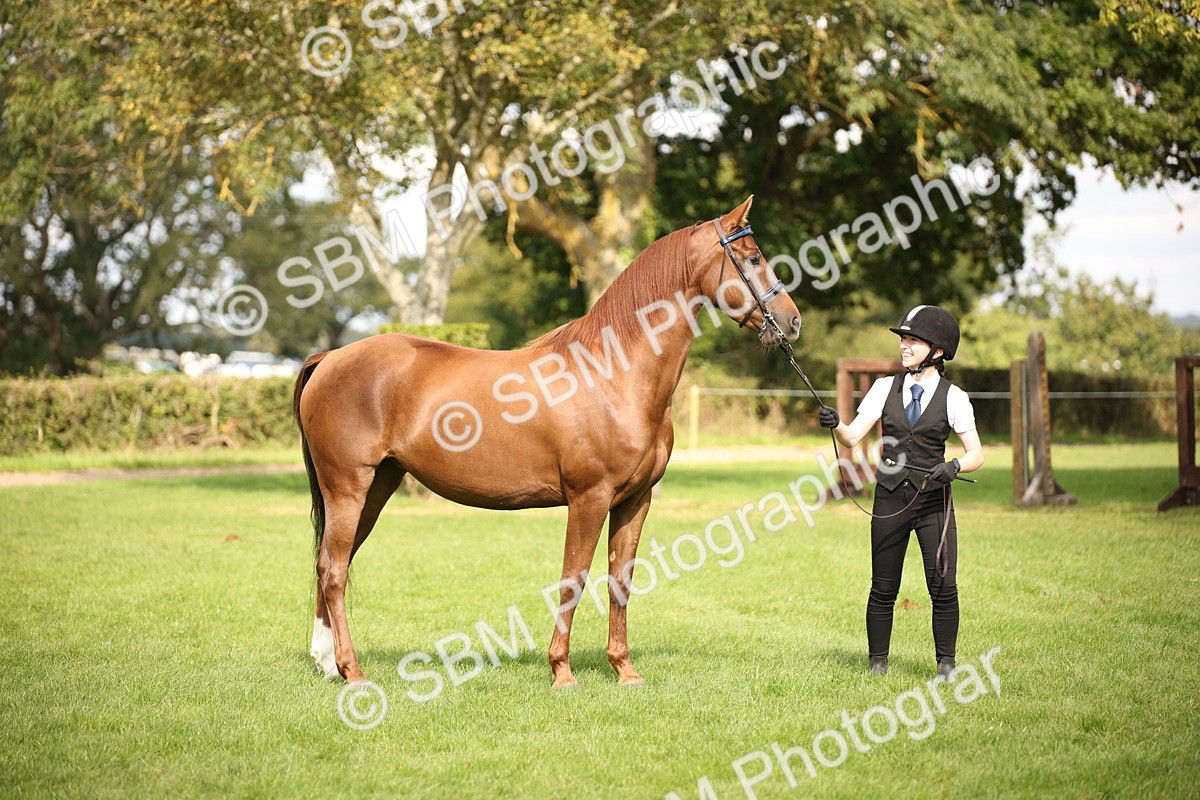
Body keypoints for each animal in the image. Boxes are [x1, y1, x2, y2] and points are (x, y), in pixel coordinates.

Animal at [293, 196, 801, 688]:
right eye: (752, 258)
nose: (792, 322)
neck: (613, 374)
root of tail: (330, 357)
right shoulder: (589, 498)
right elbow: (573, 579)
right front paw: (562, 672)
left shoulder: (636, 500)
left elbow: (620, 580)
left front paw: (624, 671)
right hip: (348, 488)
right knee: (334, 570)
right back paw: (353, 672)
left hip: (377, 487)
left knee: (330, 563)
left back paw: (326, 663)